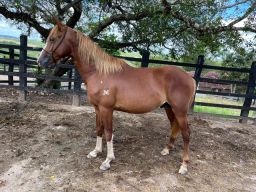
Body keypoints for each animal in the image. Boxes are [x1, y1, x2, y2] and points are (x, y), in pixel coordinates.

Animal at [37, 20, 195, 174]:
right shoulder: (97, 108)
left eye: (53, 39)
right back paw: (167, 149)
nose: (40, 61)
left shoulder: (107, 109)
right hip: (169, 108)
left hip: (180, 111)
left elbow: (108, 132)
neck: (99, 73)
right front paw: (95, 152)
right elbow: (99, 129)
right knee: (174, 126)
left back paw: (184, 165)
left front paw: (107, 161)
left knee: (186, 133)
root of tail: (190, 77)